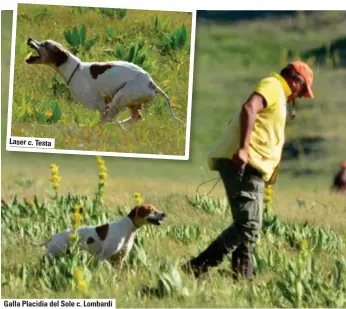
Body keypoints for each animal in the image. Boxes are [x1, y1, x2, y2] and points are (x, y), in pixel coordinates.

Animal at [25, 38, 182, 126]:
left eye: (44, 44)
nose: (29, 39)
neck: (74, 69)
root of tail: (152, 84)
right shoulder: (105, 105)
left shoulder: (102, 106)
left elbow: (103, 117)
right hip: (130, 102)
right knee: (135, 118)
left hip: (120, 98)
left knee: (112, 119)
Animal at [32, 203, 166, 266]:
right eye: (150, 210)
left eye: (156, 209)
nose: (164, 214)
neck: (128, 228)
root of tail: (54, 236)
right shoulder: (102, 257)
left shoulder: (119, 259)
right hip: (53, 253)